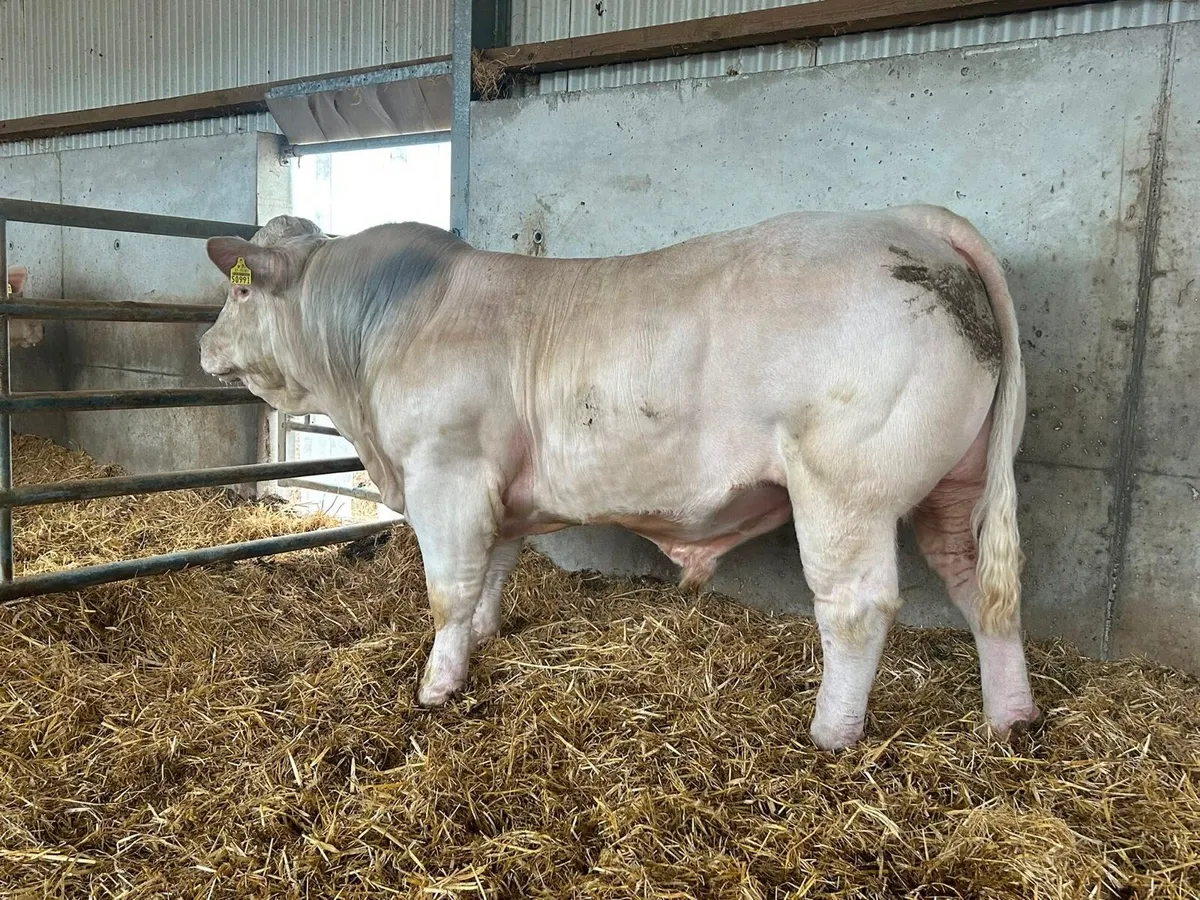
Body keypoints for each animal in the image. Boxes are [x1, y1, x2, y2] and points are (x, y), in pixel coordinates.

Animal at [199, 205, 1040, 750]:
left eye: (239, 289)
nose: (205, 345)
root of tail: (914, 222)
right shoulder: (497, 490)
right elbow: (494, 569)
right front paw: (482, 638)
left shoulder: (447, 472)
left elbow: (449, 589)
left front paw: (438, 684)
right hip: (956, 488)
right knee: (981, 590)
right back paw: (1011, 717)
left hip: (844, 487)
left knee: (856, 607)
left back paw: (831, 733)